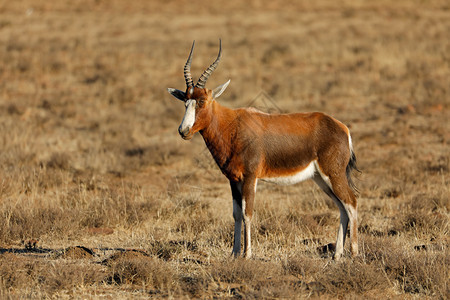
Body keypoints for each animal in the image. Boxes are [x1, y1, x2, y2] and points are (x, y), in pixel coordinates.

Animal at [167, 40, 360, 260]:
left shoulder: (250, 177)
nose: (183, 130)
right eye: (185, 101)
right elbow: (236, 214)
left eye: (201, 101)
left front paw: (247, 254)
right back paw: (337, 255)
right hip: (321, 178)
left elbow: (247, 213)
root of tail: (342, 128)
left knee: (351, 203)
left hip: (333, 174)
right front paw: (234, 254)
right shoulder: (233, 180)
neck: (232, 125)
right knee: (342, 207)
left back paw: (354, 254)